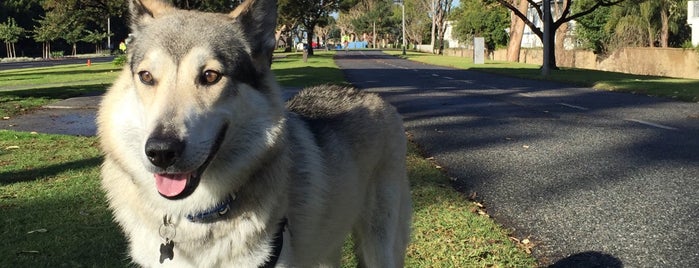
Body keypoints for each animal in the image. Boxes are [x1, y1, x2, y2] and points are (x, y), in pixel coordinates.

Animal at [94, 0, 410, 266]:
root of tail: (374, 96)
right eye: (146, 77)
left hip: (379, 247)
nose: (161, 152)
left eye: (210, 76)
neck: (196, 215)